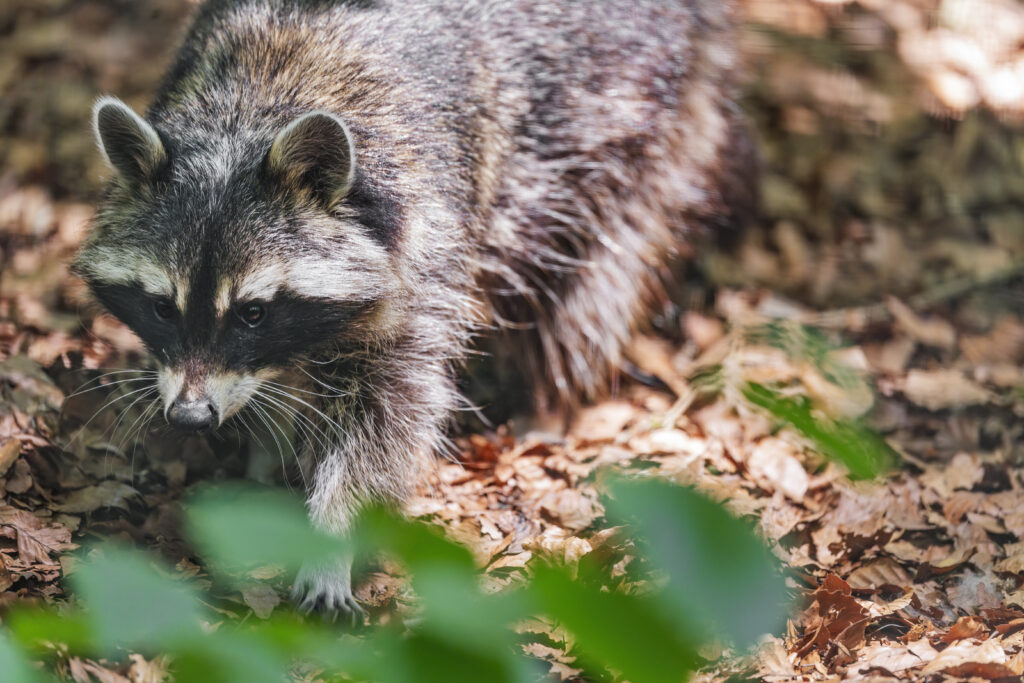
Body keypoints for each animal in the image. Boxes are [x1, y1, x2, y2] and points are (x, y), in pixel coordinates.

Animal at [73, 0, 753, 618]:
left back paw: (554, 395)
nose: (190, 417)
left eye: (253, 313)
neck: (252, 110)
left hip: (618, 114)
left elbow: (389, 418)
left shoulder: (425, 252)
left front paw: (333, 532)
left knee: (598, 270)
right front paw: (265, 453)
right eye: (162, 308)